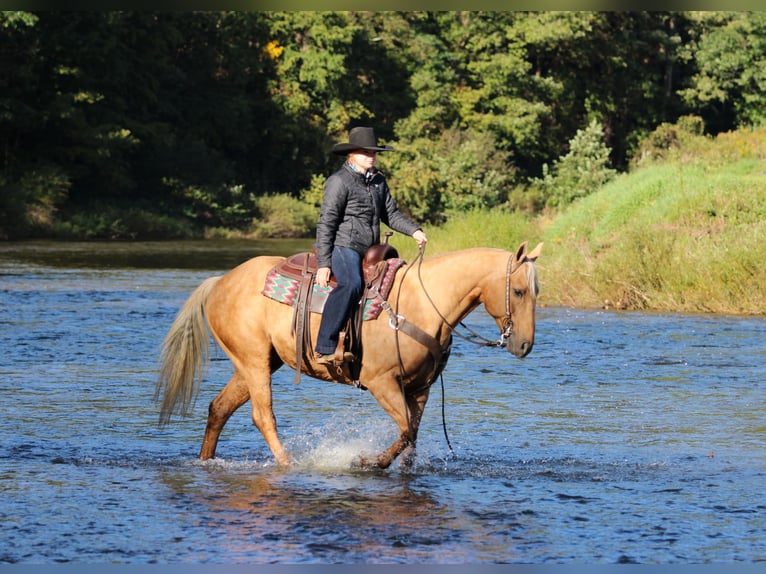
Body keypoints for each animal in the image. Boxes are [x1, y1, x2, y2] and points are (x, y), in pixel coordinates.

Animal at [155, 240, 543, 469]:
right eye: (519, 291)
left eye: (536, 290)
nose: (525, 345)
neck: (423, 303)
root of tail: (220, 282)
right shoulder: (381, 382)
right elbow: (405, 430)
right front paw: (369, 462)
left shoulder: (420, 388)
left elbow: (413, 434)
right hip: (253, 362)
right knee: (262, 416)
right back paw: (288, 464)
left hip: (255, 362)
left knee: (219, 408)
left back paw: (205, 461)